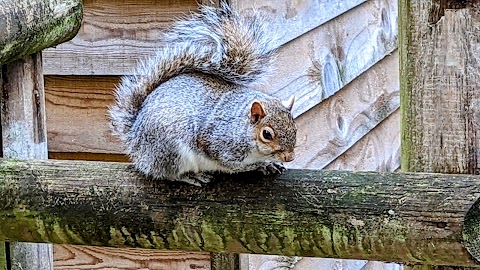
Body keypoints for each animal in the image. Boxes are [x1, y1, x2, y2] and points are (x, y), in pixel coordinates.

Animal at [109, 1, 296, 186]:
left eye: (294, 127)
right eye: (267, 134)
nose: (290, 157)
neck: (243, 128)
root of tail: (135, 139)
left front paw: (269, 163)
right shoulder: (220, 145)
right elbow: (233, 164)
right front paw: (261, 164)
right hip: (171, 151)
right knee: (167, 173)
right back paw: (190, 176)